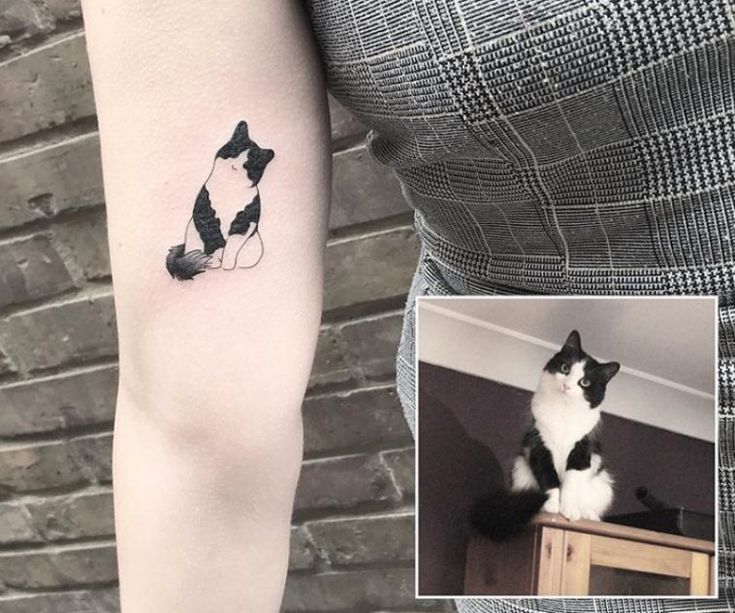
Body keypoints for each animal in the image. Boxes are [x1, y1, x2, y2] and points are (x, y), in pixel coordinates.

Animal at [167, 119, 276, 280]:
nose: (235, 165)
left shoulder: (243, 222)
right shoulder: (206, 215)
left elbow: (231, 245)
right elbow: (215, 239)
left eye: (248, 163)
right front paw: (210, 262)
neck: (229, 188)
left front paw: (226, 266)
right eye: (234, 152)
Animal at [472, 330, 620, 540]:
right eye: (565, 368)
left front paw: (569, 510)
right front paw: (551, 506)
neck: (563, 412)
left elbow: (571, 484)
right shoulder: (539, 446)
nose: (567, 386)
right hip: (519, 469)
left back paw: (588, 515)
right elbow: (549, 478)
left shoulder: (581, 451)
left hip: (603, 483)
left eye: (585, 382)